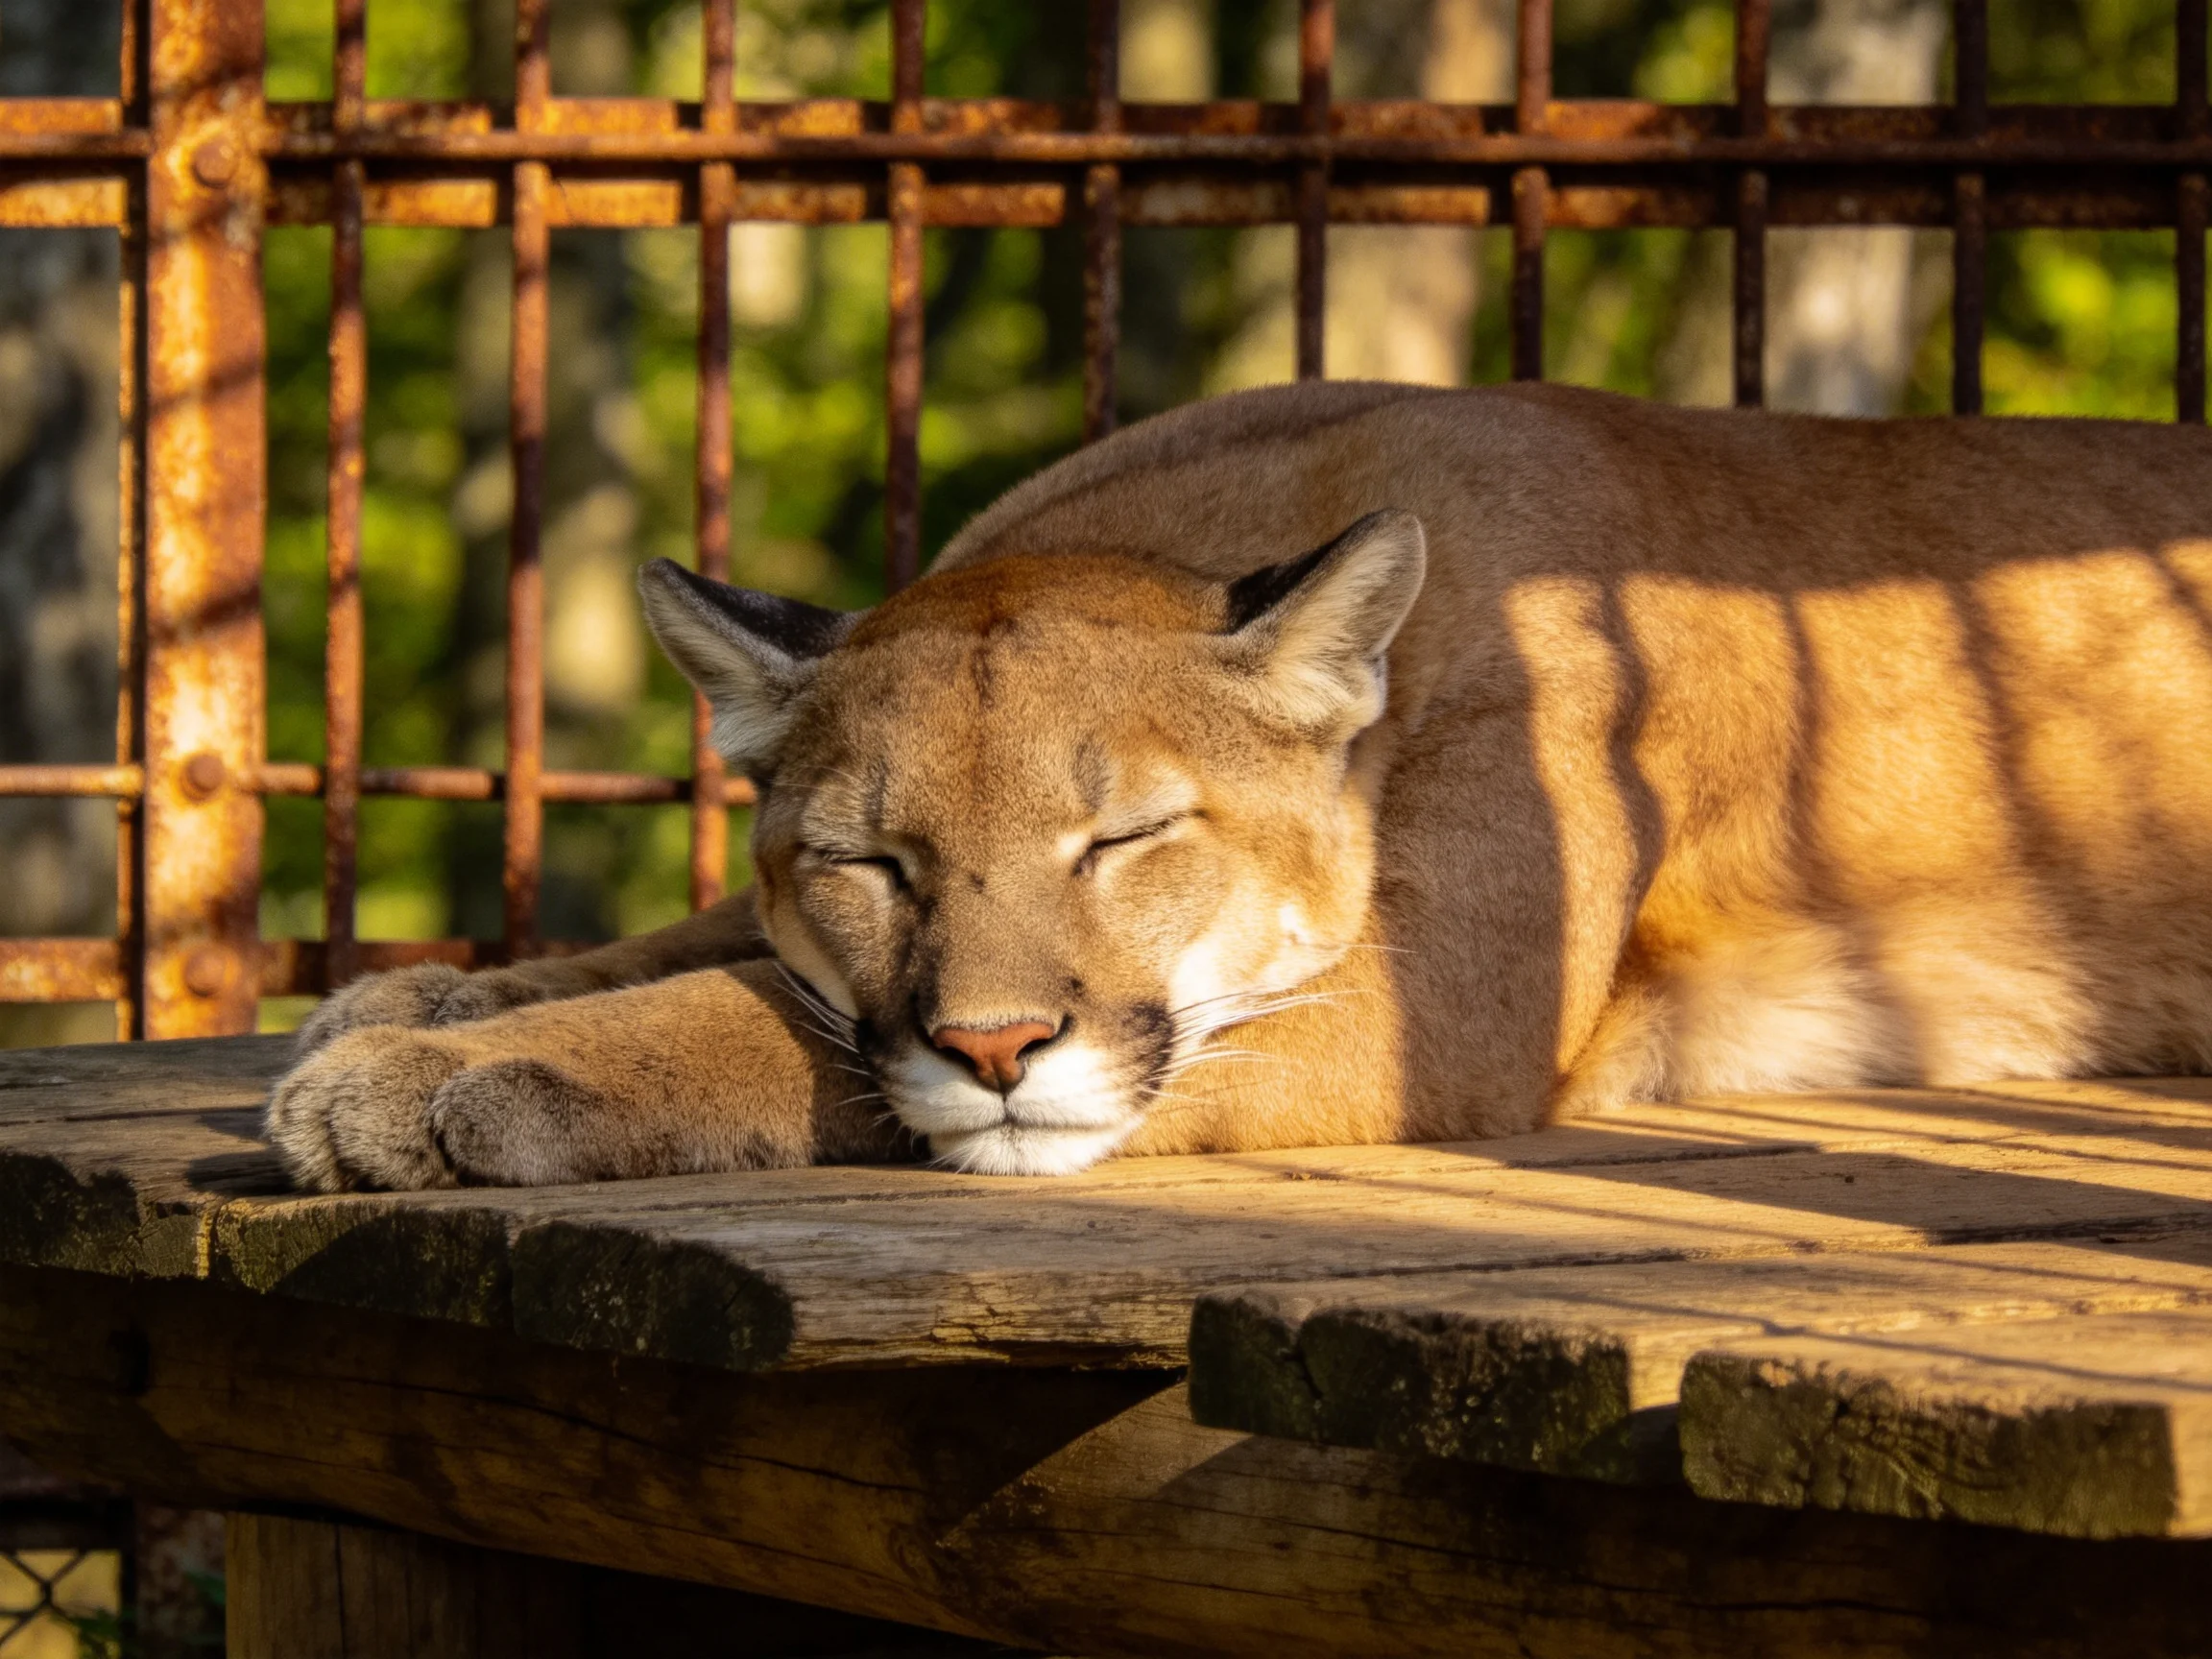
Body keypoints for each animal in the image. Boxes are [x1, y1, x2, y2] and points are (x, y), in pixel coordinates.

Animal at [267, 380, 2212, 1192]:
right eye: (871, 862)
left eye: (1125, 837)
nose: (994, 1043)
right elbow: (712, 945)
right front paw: (428, 1000)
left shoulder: (1430, 1006)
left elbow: (770, 1018)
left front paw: (434, 1079)